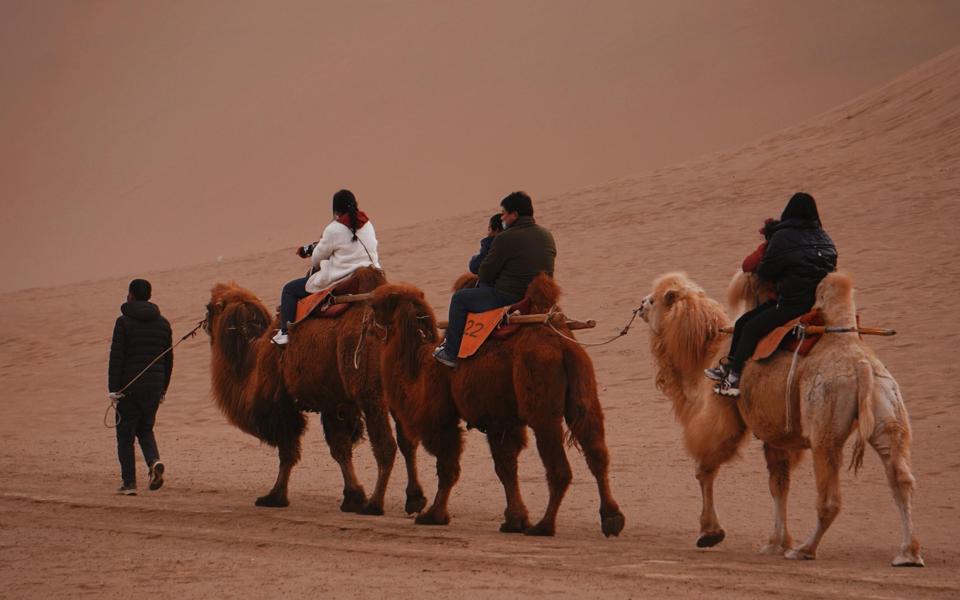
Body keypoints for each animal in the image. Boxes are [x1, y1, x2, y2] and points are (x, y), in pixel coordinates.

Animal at [204, 268, 426, 516]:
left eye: (209, 307)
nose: (205, 325)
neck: (253, 361)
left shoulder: (283, 404)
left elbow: (288, 451)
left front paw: (275, 496)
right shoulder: (335, 402)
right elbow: (340, 449)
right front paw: (353, 497)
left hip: (372, 396)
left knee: (386, 446)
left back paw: (375, 505)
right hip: (401, 392)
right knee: (408, 442)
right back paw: (415, 499)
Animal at [366, 274, 624, 536]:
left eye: (378, 304)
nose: (367, 318)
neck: (419, 369)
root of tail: (563, 346)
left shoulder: (443, 418)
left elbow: (449, 467)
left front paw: (434, 515)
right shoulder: (501, 420)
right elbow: (506, 467)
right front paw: (515, 520)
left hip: (542, 408)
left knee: (560, 468)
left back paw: (544, 525)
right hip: (584, 396)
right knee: (597, 453)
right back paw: (612, 518)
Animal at [636, 272, 924, 568]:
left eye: (655, 299)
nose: (641, 305)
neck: (706, 351)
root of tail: (861, 366)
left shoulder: (720, 417)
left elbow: (704, 468)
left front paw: (710, 533)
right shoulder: (777, 436)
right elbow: (779, 484)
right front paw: (776, 542)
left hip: (825, 430)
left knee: (830, 498)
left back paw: (805, 549)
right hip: (888, 411)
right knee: (901, 480)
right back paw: (908, 553)